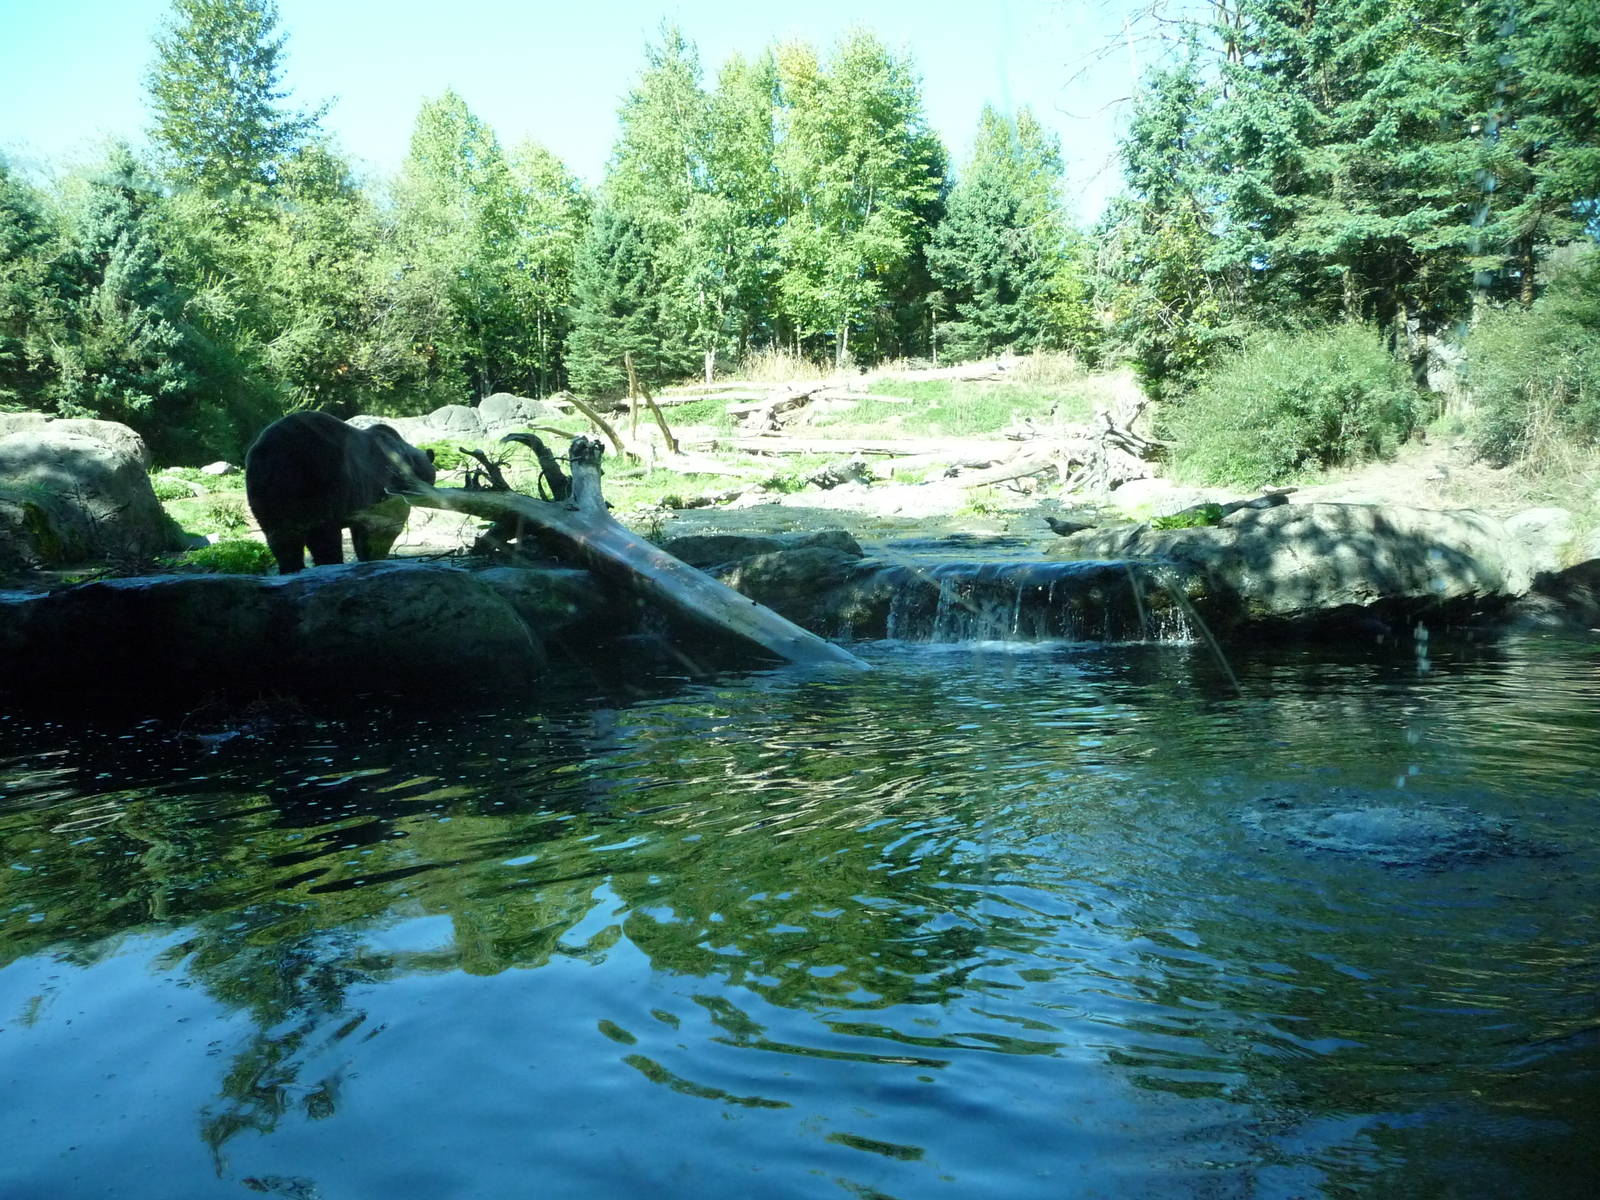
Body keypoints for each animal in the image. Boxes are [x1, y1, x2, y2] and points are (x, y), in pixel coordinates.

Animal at [244, 411, 437, 574]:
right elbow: (382, 526)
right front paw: (374, 556)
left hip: (264, 489)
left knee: (280, 535)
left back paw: (291, 567)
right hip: (322, 476)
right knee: (323, 533)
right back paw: (329, 562)